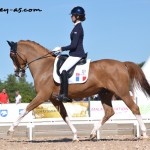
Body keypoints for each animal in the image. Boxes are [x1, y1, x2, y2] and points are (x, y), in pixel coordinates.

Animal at [6, 39, 150, 141]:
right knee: (109, 112)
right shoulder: (54, 98)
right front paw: (75, 136)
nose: (18, 73)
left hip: (123, 93)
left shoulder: (42, 96)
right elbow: (65, 116)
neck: (43, 66)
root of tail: (122, 64)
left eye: (12, 55)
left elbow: (25, 110)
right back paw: (92, 134)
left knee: (134, 108)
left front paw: (10, 131)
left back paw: (144, 134)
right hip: (105, 93)